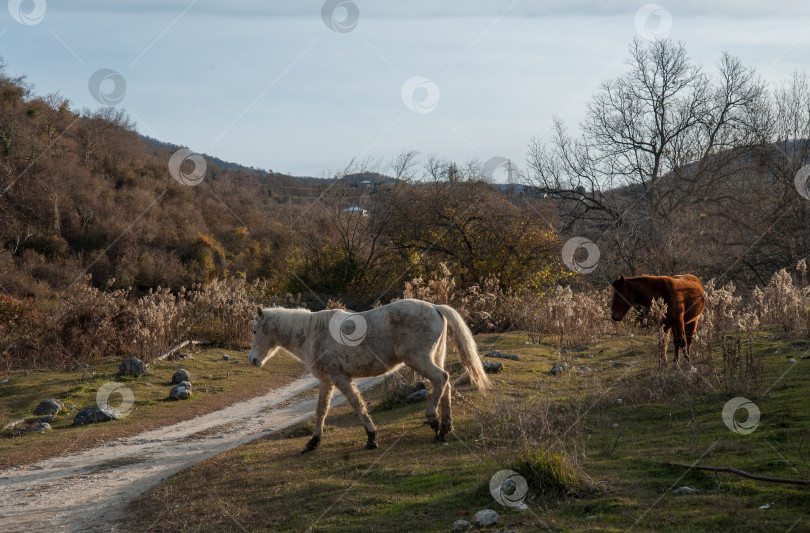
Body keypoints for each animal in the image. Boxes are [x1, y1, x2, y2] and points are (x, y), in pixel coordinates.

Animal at [248, 298, 486, 450]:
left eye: (254, 331)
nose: (252, 360)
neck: (312, 334)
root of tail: (435, 307)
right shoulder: (326, 381)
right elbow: (321, 411)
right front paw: (313, 442)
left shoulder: (341, 379)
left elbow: (357, 404)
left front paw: (371, 438)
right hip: (435, 357)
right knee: (445, 385)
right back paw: (445, 428)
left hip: (419, 360)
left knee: (441, 379)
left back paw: (435, 423)